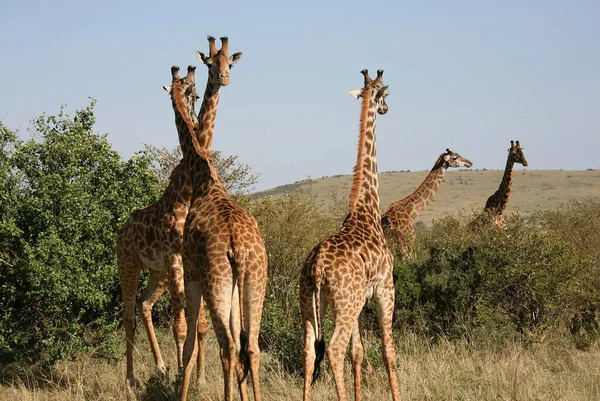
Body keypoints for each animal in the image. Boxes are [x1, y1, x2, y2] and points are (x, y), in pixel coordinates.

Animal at [116, 36, 240, 388]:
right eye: (210, 63)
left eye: (230, 62)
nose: (224, 78)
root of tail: (121, 229)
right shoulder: (177, 260)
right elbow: (181, 325)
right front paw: (185, 378)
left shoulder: (182, 264)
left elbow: (199, 325)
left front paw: (198, 379)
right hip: (128, 264)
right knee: (128, 313)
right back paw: (131, 379)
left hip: (157, 273)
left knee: (144, 305)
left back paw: (160, 367)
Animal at [298, 69, 400, 400]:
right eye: (386, 94)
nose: (386, 109)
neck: (367, 207)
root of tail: (317, 265)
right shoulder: (384, 288)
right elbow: (387, 350)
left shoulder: (359, 299)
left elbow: (359, 352)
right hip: (344, 303)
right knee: (333, 349)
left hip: (310, 301)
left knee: (309, 350)